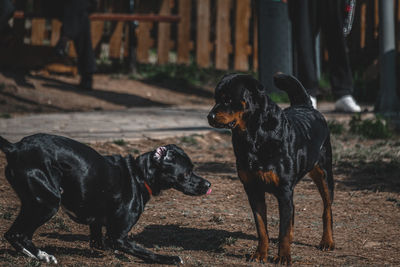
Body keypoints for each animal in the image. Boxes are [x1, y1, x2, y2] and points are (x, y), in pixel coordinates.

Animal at [0, 134, 212, 266]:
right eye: (187, 173)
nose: (208, 184)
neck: (139, 175)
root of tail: (15, 147)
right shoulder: (118, 236)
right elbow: (145, 252)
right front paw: (170, 259)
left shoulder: (98, 226)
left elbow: (98, 242)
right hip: (48, 203)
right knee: (17, 234)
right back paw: (43, 256)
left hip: (36, 202)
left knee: (14, 234)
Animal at [208, 74, 336, 266]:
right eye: (216, 99)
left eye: (228, 99)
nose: (210, 116)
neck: (252, 137)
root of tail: (306, 106)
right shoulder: (253, 191)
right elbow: (262, 228)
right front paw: (260, 254)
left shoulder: (283, 191)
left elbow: (282, 231)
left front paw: (283, 256)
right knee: (293, 211)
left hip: (324, 174)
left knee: (327, 209)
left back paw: (327, 241)